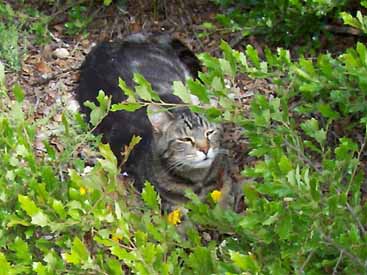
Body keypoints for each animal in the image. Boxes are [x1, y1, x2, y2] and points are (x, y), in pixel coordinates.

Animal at [77, 33, 236, 209]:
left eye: (209, 133)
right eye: (185, 139)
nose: (205, 149)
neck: (198, 180)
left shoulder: (227, 181)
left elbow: (225, 200)